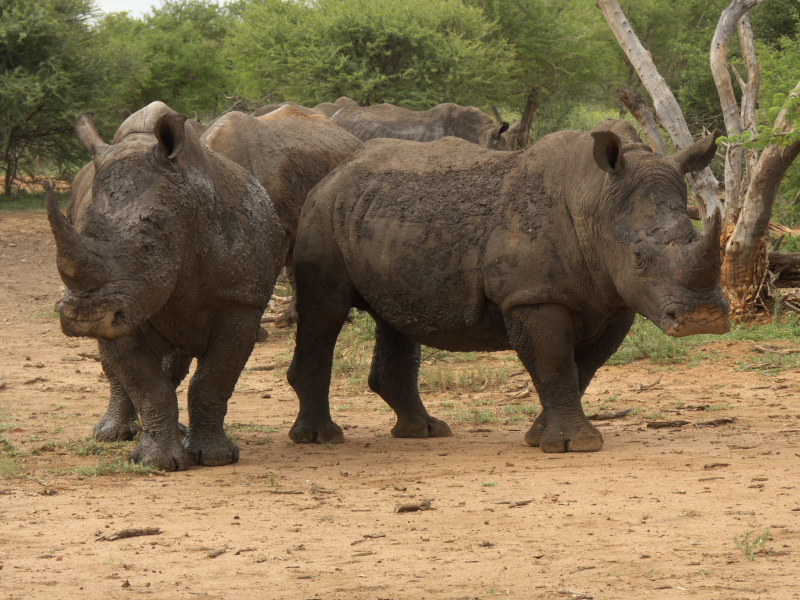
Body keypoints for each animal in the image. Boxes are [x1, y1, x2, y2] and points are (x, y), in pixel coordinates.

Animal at [48, 102, 287, 470]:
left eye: (149, 247)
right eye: (81, 228)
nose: (82, 318)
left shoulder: (241, 300)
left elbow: (213, 379)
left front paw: (215, 457)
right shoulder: (125, 304)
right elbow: (145, 382)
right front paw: (156, 463)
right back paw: (111, 434)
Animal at [286, 119, 729, 452]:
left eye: (694, 238)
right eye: (638, 256)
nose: (702, 318)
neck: (596, 199)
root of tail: (336, 169)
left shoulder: (615, 299)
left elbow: (583, 369)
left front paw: (540, 437)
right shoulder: (532, 296)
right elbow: (556, 364)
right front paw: (573, 445)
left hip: (379, 217)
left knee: (395, 317)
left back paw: (424, 431)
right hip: (321, 211)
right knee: (325, 312)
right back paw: (320, 438)